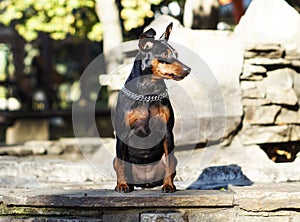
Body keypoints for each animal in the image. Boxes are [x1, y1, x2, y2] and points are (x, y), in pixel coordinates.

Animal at [112, 23, 190, 193]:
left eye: (176, 54)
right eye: (164, 54)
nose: (188, 70)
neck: (148, 93)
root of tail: (145, 183)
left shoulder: (167, 132)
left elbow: (169, 164)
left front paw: (168, 186)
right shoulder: (122, 132)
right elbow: (121, 163)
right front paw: (121, 185)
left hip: (172, 158)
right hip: (116, 159)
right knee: (119, 163)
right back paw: (127, 185)